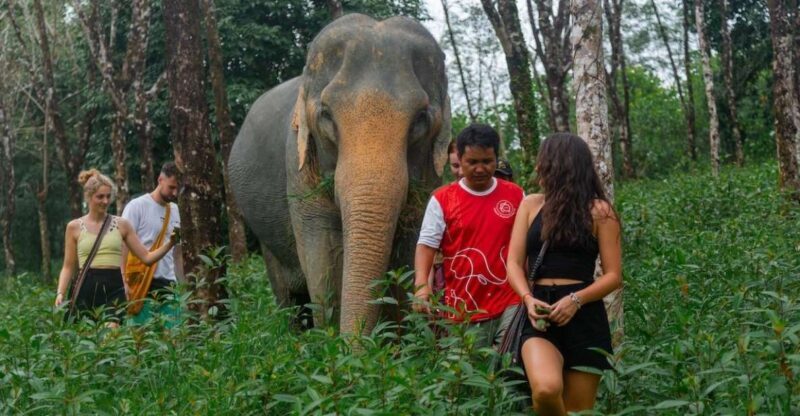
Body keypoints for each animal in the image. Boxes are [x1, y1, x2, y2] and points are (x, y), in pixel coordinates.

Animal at [228, 14, 451, 335]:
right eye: (326, 115)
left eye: (421, 119)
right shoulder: (297, 165)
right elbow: (325, 256)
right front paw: (337, 343)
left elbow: (412, 242)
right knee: (287, 296)